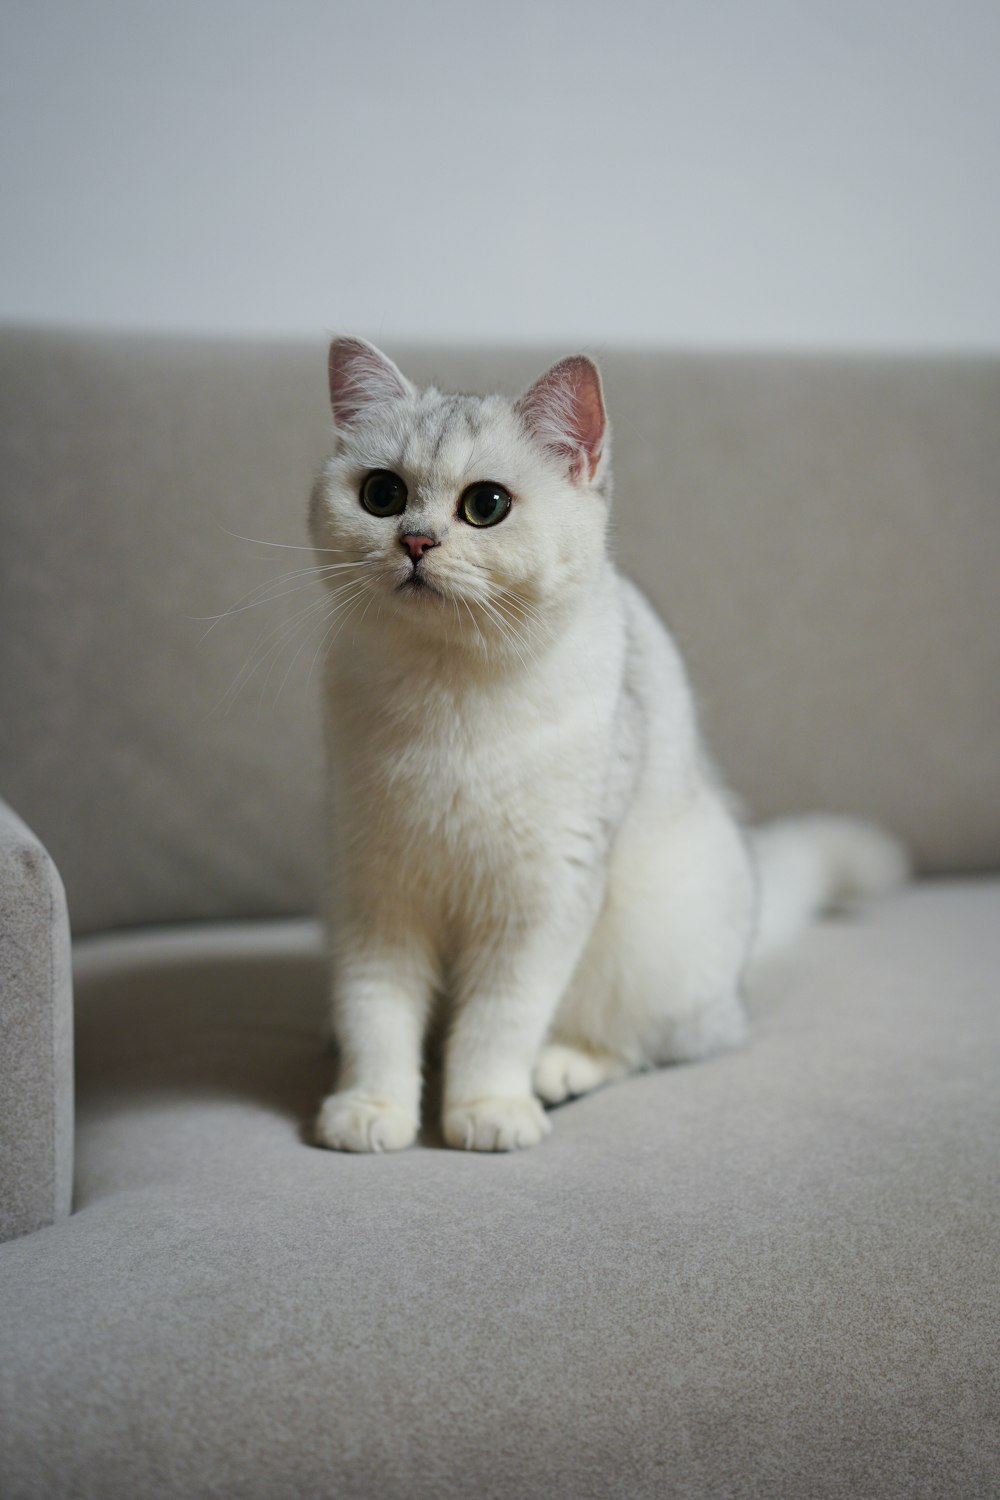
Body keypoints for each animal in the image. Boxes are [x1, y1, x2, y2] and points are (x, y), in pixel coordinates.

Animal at [307, 340, 905, 1152]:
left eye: (485, 507)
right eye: (381, 494)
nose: (416, 541)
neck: (447, 689)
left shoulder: (542, 896)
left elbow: (498, 1021)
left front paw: (486, 1107)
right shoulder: (374, 893)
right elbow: (377, 1013)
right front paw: (372, 1107)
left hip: (650, 939)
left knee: (647, 1043)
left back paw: (562, 1068)